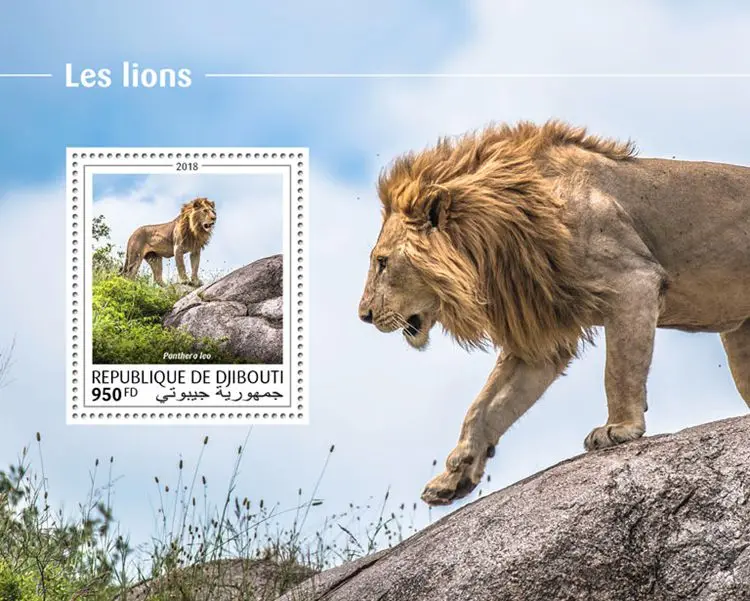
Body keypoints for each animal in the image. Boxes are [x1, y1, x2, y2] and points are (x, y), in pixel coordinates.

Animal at [358, 119, 750, 506]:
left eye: (382, 262)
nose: (364, 314)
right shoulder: (542, 334)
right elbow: (484, 407)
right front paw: (453, 477)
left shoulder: (634, 280)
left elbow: (619, 369)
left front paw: (619, 429)